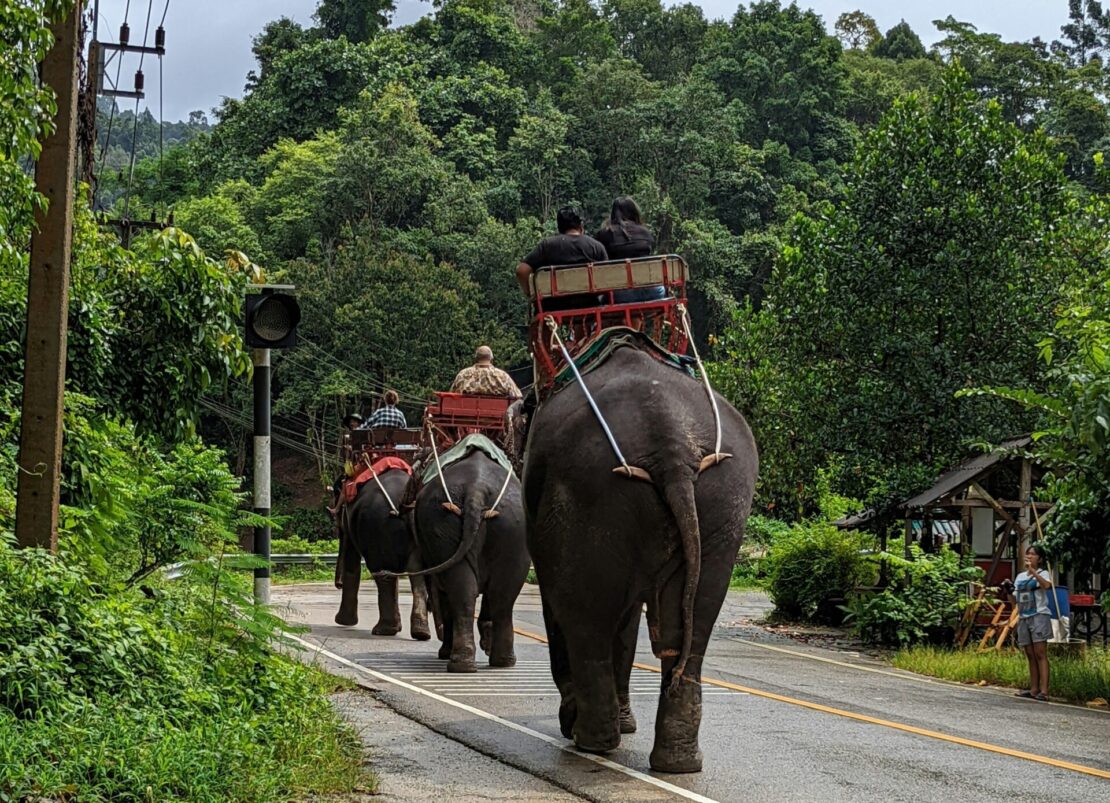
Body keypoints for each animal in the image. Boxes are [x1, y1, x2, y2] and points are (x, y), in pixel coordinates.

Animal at [334, 468, 432, 640]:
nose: (338, 585)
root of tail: (410, 504)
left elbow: (352, 562)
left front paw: (343, 622)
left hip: (380, 530)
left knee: (384, 574)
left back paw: (383, 630)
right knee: (415, 575)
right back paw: (421, 633)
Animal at [388, 447, 529, 673]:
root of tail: (477, 489)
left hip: (445, 524)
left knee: (463, 591)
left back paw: (460, 662)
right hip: (510, 528)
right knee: (501, 593)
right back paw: (498, 662)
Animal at [522, 345, 758, 773]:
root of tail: (673, 447)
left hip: (592, 499)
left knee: (585, 617)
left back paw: (591, 741)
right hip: (724, 506)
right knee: (691, 627)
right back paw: (678, 762)